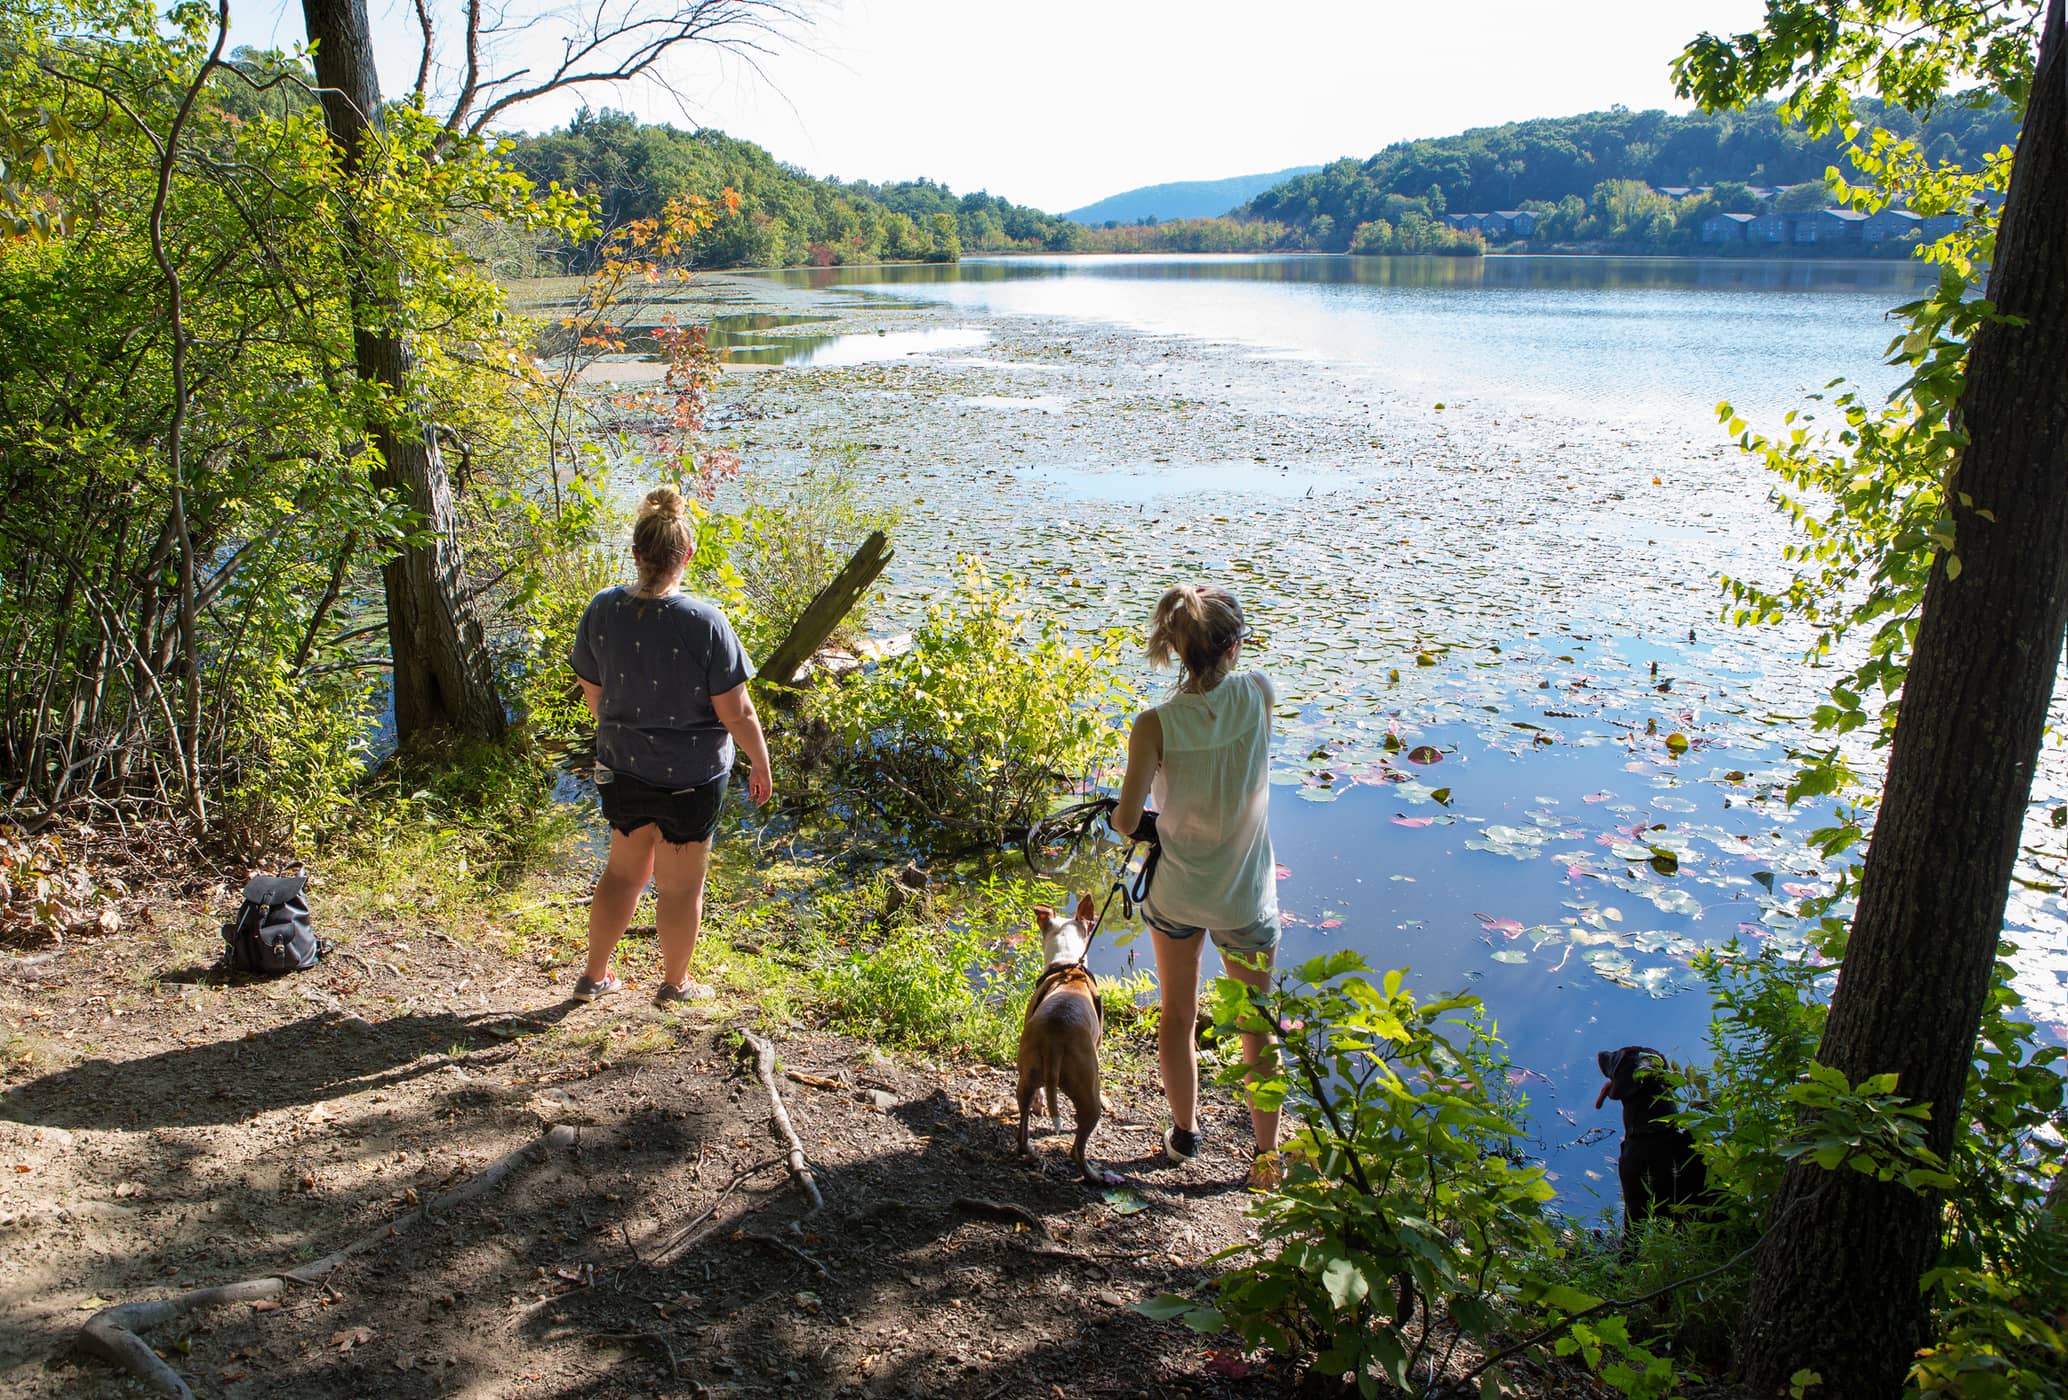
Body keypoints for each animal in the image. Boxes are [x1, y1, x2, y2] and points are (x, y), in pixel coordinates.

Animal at [1013, 897, 1124, 1182]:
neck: (1068, 966)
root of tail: (1055, 1040)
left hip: (1026, 1078)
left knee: (1022, 1131)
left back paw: (1028, 1149)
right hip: (1089, 1096)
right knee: (1077, 1149)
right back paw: (1095, 1176)